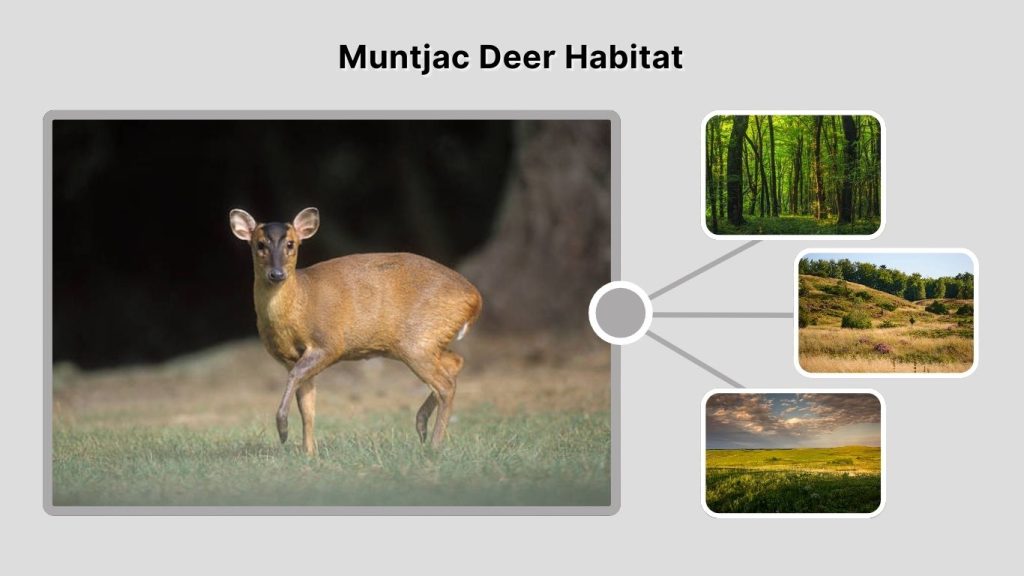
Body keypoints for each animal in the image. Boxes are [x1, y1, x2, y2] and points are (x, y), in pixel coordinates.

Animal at [229, 207, 483, 454]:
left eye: (291, 244)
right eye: (260, 244)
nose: (277, 274)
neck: (300, 301)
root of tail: (474, 298)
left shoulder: (329, 342)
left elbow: (297, 378)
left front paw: (283, 430)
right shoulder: (291, 358)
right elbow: (307, 406)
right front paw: (309, 454)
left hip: (417, 341)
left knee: (445, 385)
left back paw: (434, 444)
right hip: (429, 340)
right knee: (455, 362)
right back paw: (421, 426)